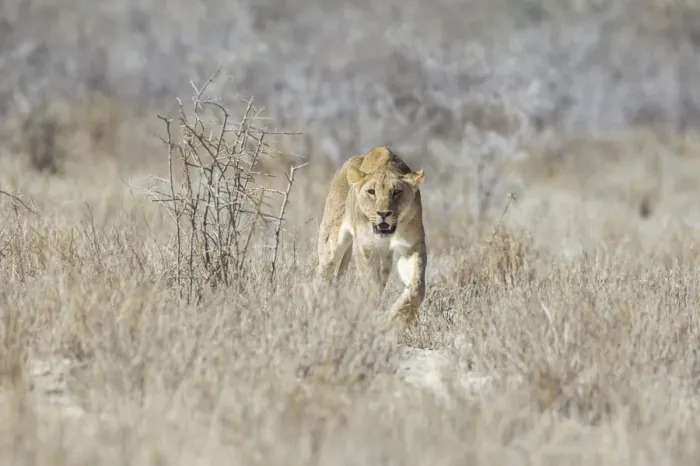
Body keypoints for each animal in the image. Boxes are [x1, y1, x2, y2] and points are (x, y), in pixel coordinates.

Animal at [315, 146, 427, 325]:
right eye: (371, 192)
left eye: (397, 192)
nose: (383, 213)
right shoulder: (365, 247)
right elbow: (370, 285)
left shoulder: (411, 247)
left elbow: (416, 286)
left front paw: (397, 316)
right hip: (330, 242)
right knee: (323, 271)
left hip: (385, 262)